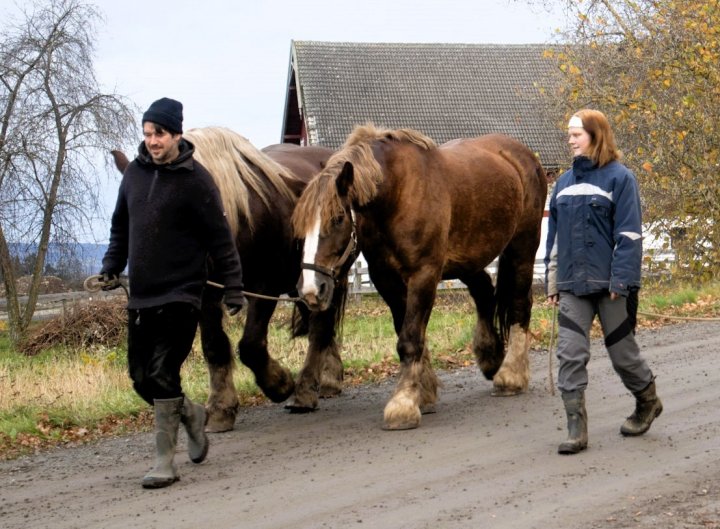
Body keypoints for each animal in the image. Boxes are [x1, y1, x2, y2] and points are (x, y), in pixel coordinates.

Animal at [112, 126, 346, 432]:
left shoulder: (264, 286)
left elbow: (250, 345)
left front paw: (280, 384)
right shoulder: (206, 295)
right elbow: (214, 345)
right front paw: (221, 407)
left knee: (320, 327)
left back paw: (306, 390)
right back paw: (328, 378)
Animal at [292, 122, 544, 428]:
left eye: (338, 219)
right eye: (300, 225)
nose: (311, 290)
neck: (397, 194)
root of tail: (524, 155)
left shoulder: (423, 274)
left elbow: (410, 338)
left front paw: (403, 404)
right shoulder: (386, 280)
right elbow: (408, 333)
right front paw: (423, 392)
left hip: (522, 247)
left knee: (520, 304)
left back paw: (511, 376)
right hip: (468, 259)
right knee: (484, 291)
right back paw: (490, 356)